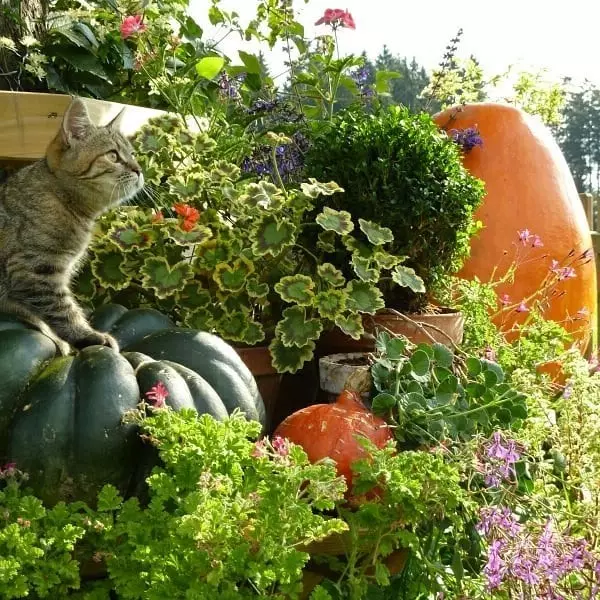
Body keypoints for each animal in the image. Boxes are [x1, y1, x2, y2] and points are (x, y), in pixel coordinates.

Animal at [0, 96, 144, 354]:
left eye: (133, 154)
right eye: (113, 156)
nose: (139, 170)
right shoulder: (33, 269)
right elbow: (63, 310)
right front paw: (86, 335)